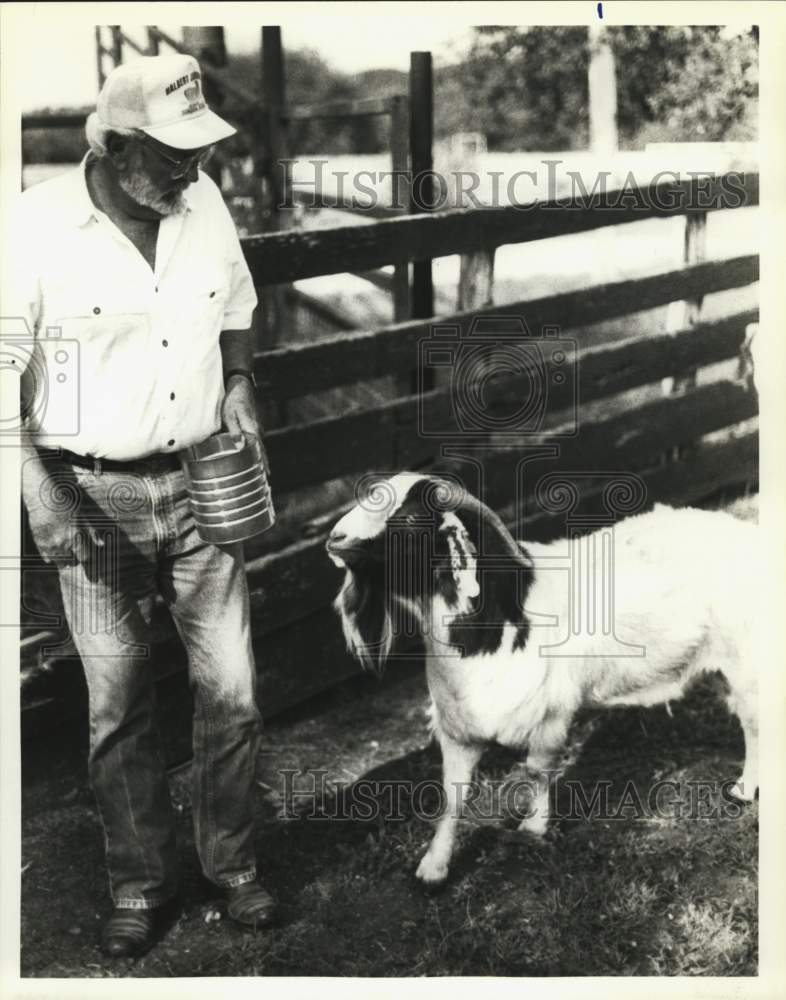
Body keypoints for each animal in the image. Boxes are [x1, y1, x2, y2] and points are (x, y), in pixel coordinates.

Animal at [328, 472, 756, 888]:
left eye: (412, 518)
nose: (335, 539)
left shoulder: (551, 715)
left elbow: (537, 771)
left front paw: (533, 827)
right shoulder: (459, 729)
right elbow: (452, 796)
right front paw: (434, 866)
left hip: (745, 660)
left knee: (756, 726)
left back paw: (746, 789)